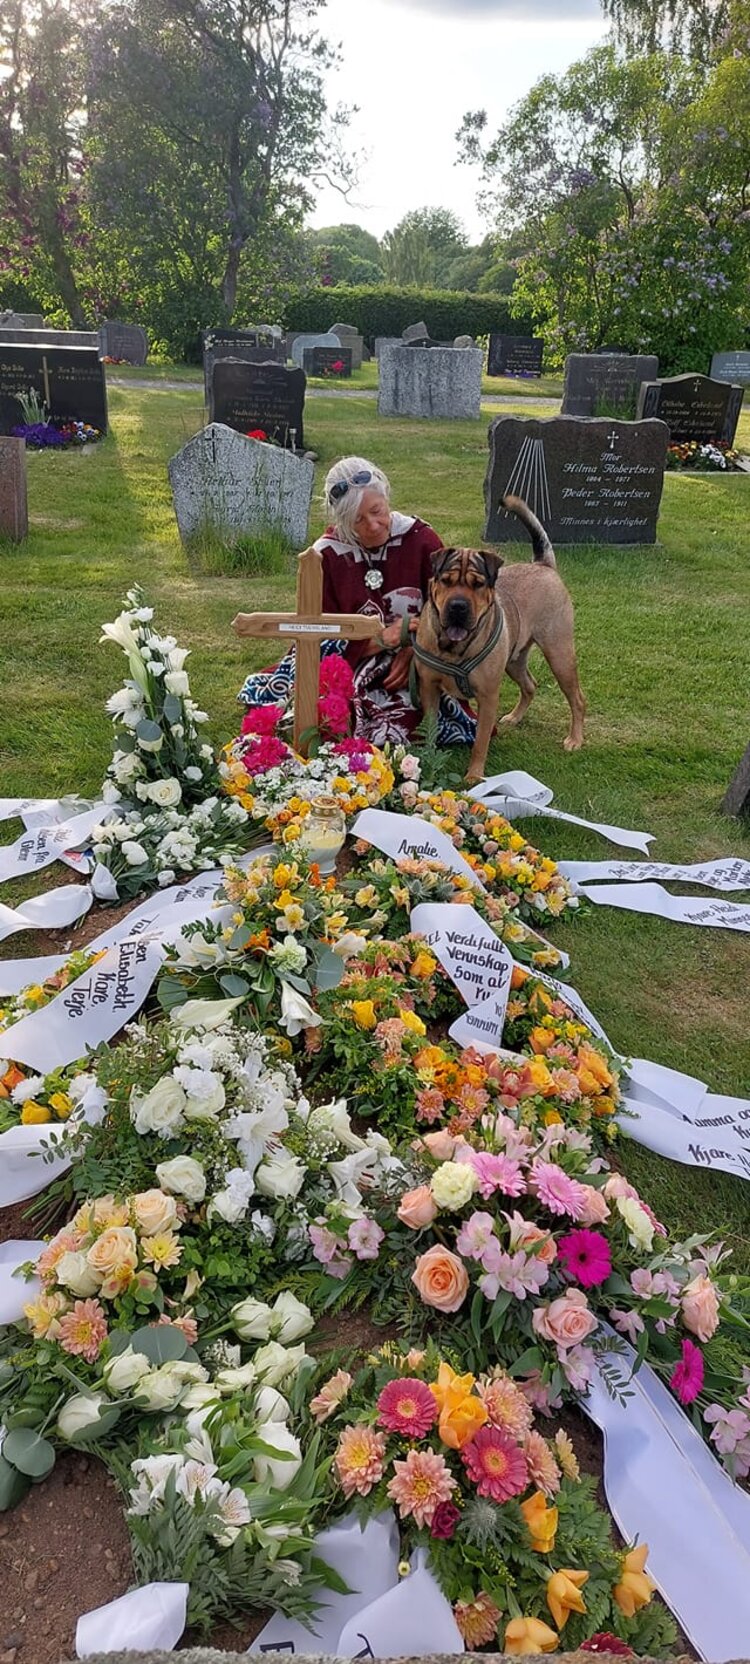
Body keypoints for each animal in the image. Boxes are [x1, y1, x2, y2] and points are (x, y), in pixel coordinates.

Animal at [413, 495, 586, 785]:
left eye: (478, 584)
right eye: (446, 581)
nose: (458, 606)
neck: (453, 649)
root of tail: (542, 565)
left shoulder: (488, 696)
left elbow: (480, 740)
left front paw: (473, 776)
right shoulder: (429, 688)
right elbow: (431, 730)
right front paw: (428, 760)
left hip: (559, 653)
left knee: (577, 699)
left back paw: (575, 739)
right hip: (514, 660)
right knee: (530, 685)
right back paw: (515, 717)